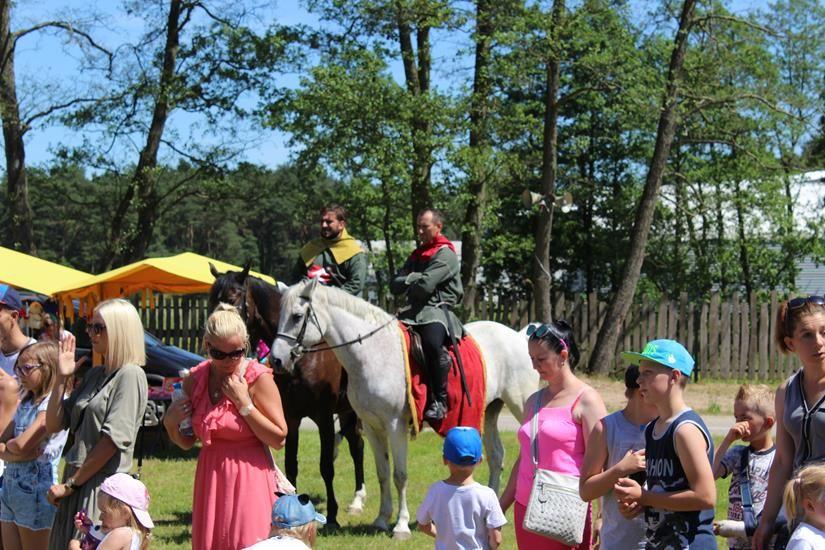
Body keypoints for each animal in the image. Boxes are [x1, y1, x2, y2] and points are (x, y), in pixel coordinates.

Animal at [208, 264, 366, 532]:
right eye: (210, 300)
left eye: (233, 298)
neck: (300, 356)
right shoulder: (290, 418)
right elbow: (291, 464)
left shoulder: (323, 417)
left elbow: (326, 466)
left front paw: (332, 516)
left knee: (357, 446)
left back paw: (357, 500)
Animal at [272, 282, 540, 540]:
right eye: (280, 314)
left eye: (297, 316)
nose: (276, 360)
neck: (373, 353)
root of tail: (518, 336)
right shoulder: (372, 426)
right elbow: (382, 473)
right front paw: (381, 519)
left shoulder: (395, 425)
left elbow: (399, 475)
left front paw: (401, 526)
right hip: (490, 411)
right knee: (496, 457)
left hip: (522, 405)